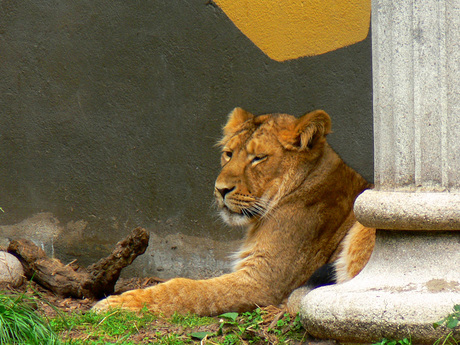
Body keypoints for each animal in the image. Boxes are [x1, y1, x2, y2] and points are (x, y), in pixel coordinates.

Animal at [91, 107, 376, 314]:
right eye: (228, 154)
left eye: (258, 158)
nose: (221, 189)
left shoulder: (263, 280)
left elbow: (188, 289)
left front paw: (118, 304)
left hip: (363, 230)